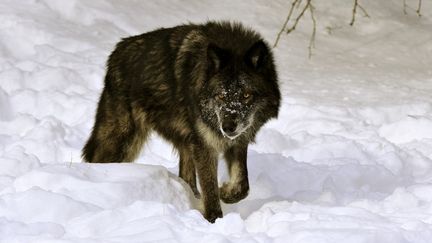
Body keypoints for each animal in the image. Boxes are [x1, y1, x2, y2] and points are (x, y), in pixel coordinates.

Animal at [82, 20, 282, 222]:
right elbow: (210, 190)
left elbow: (243, 184)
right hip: (123, 140)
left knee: (187, 178)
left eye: (246, 95)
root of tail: (117, 51)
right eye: (221, 96)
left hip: (184, 144)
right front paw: (215, 220)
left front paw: (226, 192)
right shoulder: (205, 145)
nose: (228, 127)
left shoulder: (237, 142)